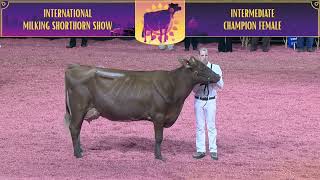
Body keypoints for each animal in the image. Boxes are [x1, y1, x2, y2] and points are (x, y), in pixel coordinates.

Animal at [64, 56, 220, 160]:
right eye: (201, 68)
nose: (218, 76)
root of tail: (74, 67)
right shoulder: (159, 115)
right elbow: (159, 138)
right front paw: (159, 157)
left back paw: (81, 150)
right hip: (78, 108)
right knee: (74, 128)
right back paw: (78, 154)